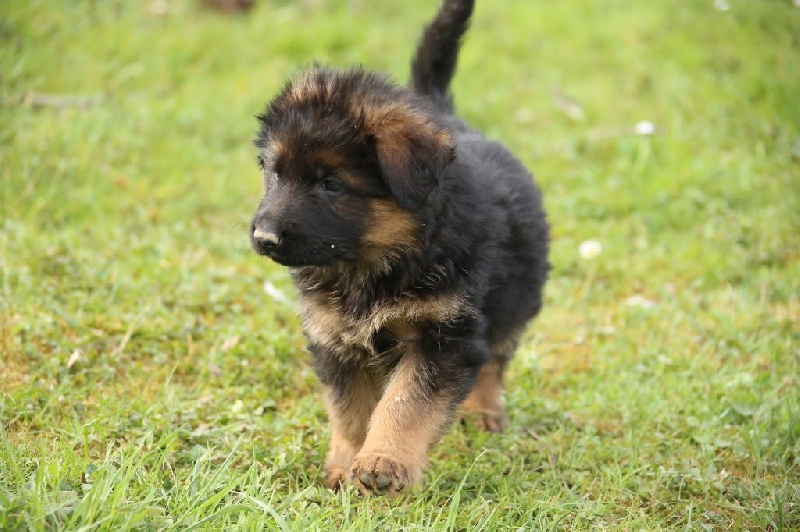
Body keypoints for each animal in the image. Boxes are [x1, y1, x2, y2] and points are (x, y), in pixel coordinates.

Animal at [249, 0, 549, 495]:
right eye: (274, 173)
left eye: (330, 184)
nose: (264, 237)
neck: (373, 264)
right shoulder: (336, 340)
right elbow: (351, 410)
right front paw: (346, 463)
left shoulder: (444, 339)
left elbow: (406, 404)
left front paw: (383, 462)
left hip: (517, 299)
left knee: (496, 359)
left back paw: (485, 412)